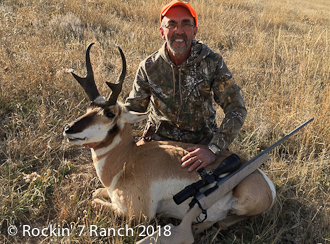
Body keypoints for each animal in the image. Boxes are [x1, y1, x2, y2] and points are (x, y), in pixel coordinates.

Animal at [63, 43, 274, 233]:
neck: (129, 159)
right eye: (89, 107)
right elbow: (95, 192)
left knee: (224, 221)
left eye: (109, 113)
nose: (68, 129)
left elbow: (93, 201)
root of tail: (266, 182)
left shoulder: (137, 215)